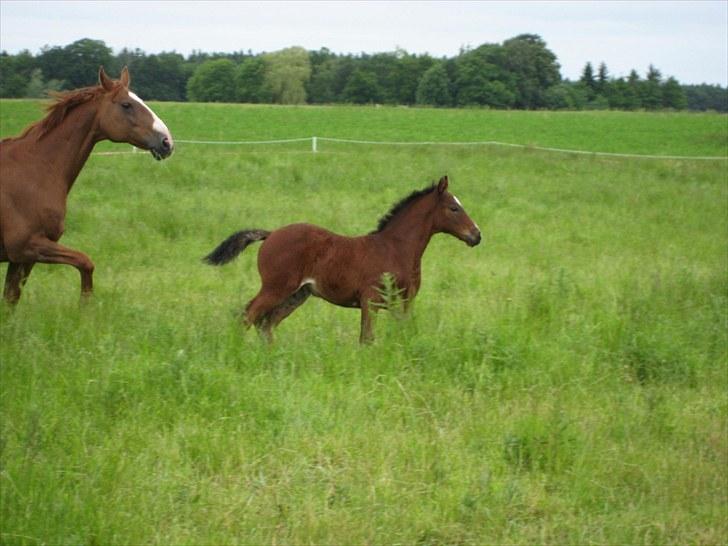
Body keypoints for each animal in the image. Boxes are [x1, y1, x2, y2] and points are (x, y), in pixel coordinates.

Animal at [0, 67, 173, 302]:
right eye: (126, 105)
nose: (167, 142)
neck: (34, 170)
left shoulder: (23, 257)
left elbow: (10, 298)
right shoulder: (27, 246)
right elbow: (86, 263)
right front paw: (85, 306)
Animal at [206, 175, 478, 340]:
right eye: (454, 208)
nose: (477, 235)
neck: (395, 248)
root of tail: (271, 234)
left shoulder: (404, 300)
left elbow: (403, 331)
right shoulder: (370, 299)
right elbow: (366, 338)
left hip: (297, 294)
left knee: (265, 324)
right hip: (276, 288)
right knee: (247, 316)